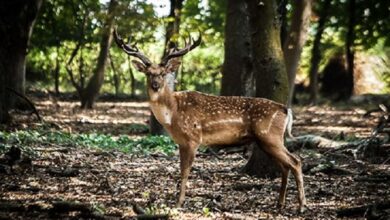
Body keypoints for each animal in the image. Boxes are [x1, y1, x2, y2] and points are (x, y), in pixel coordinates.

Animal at [114, 28, 306, 212]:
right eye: (148, 73)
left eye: (162, 73)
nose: (155, 85)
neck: (173, 113)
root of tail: (285, 109)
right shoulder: (181, 142)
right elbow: (181, 169)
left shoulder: (193, 138)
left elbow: (185, 171)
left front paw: (179, 203)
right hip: (266, 140)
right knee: (285, 166)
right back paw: (280, 204)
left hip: (269, 136)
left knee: (295, 161)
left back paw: (301, 206)